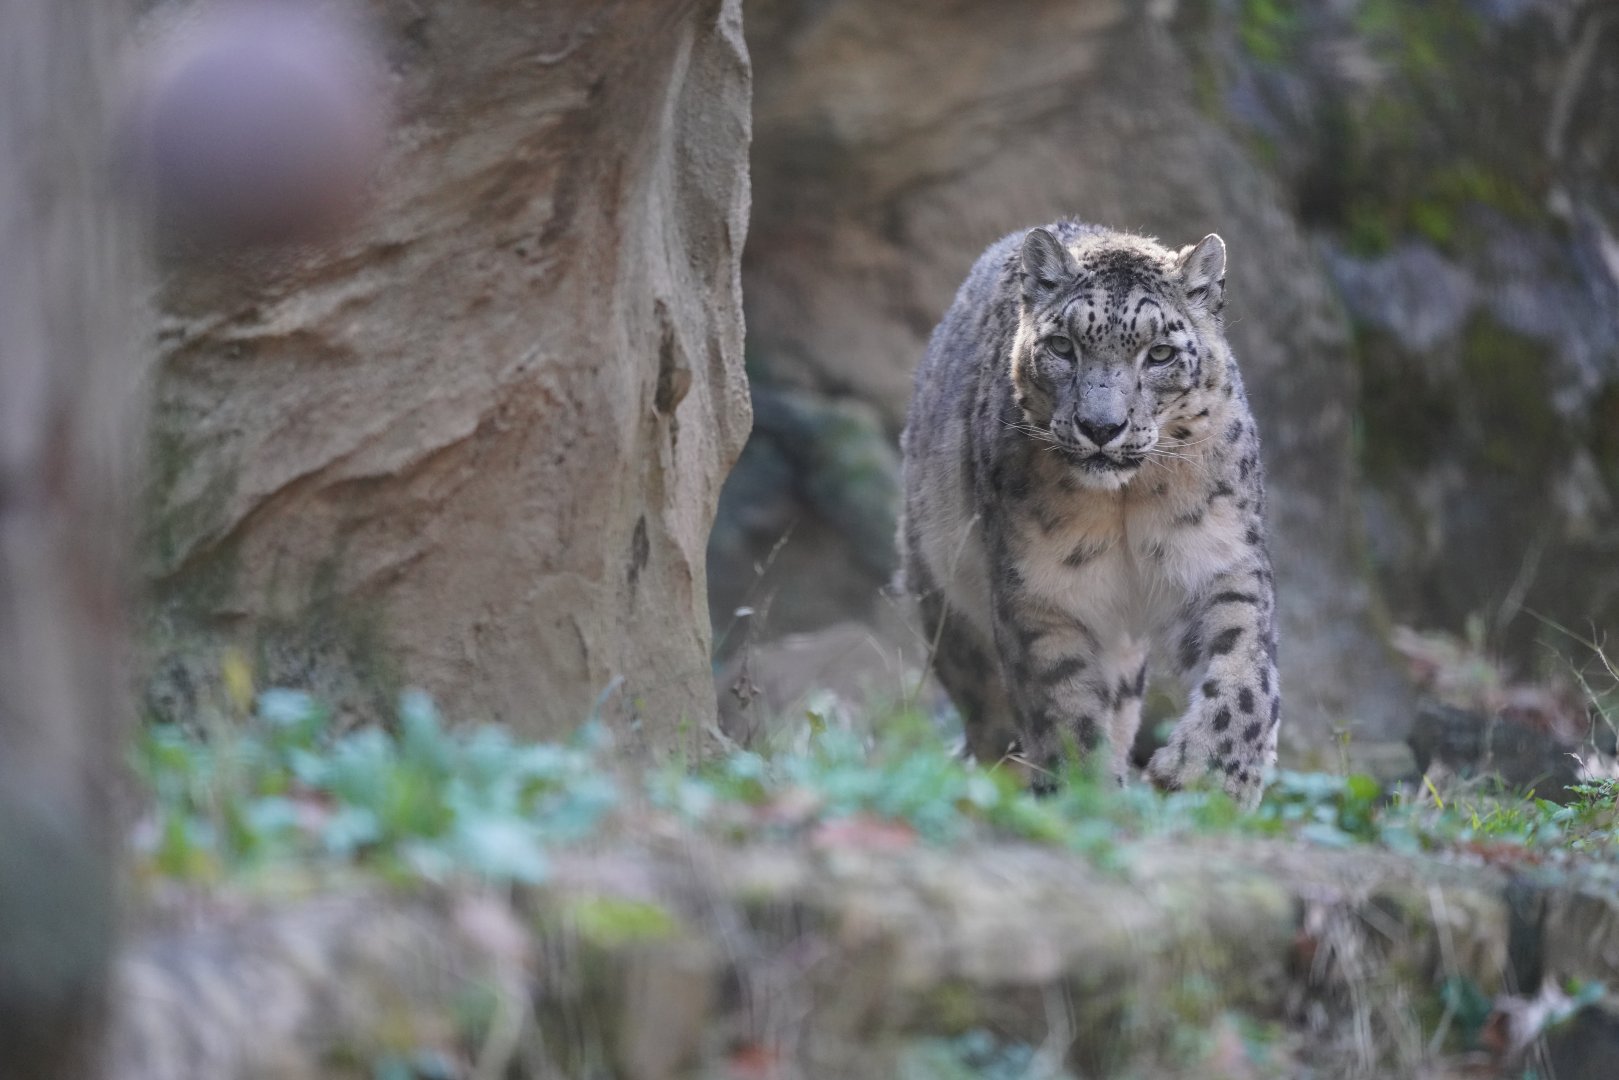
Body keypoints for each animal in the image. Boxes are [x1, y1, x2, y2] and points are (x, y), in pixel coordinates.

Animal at [898, 220, 1279, 809]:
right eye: (1063, 346)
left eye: (1160, 353)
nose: (1101, 427)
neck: (1126, 500)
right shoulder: (1042, 589)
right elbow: (1064, 701)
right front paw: (1085, 793)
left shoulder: (1219, 558)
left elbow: (1245, 665)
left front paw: (1209, 777)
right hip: (943, 593)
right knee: (988, 710)